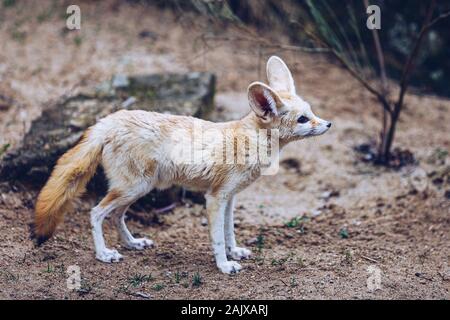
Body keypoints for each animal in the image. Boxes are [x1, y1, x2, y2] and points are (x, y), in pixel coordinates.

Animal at [34, 56, 330, 274]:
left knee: (116, 215)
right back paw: (103, 254)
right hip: (132, 188)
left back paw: (132, 243)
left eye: (311, 112)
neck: (247, 140)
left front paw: (235, 252)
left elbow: (229, 231)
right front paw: (224, 265)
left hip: (137, 190)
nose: (328, 124)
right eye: (303, 119)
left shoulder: (230, 198)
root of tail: (108, 120)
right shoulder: (215, 198)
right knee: (96, 213)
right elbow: (217, 237)